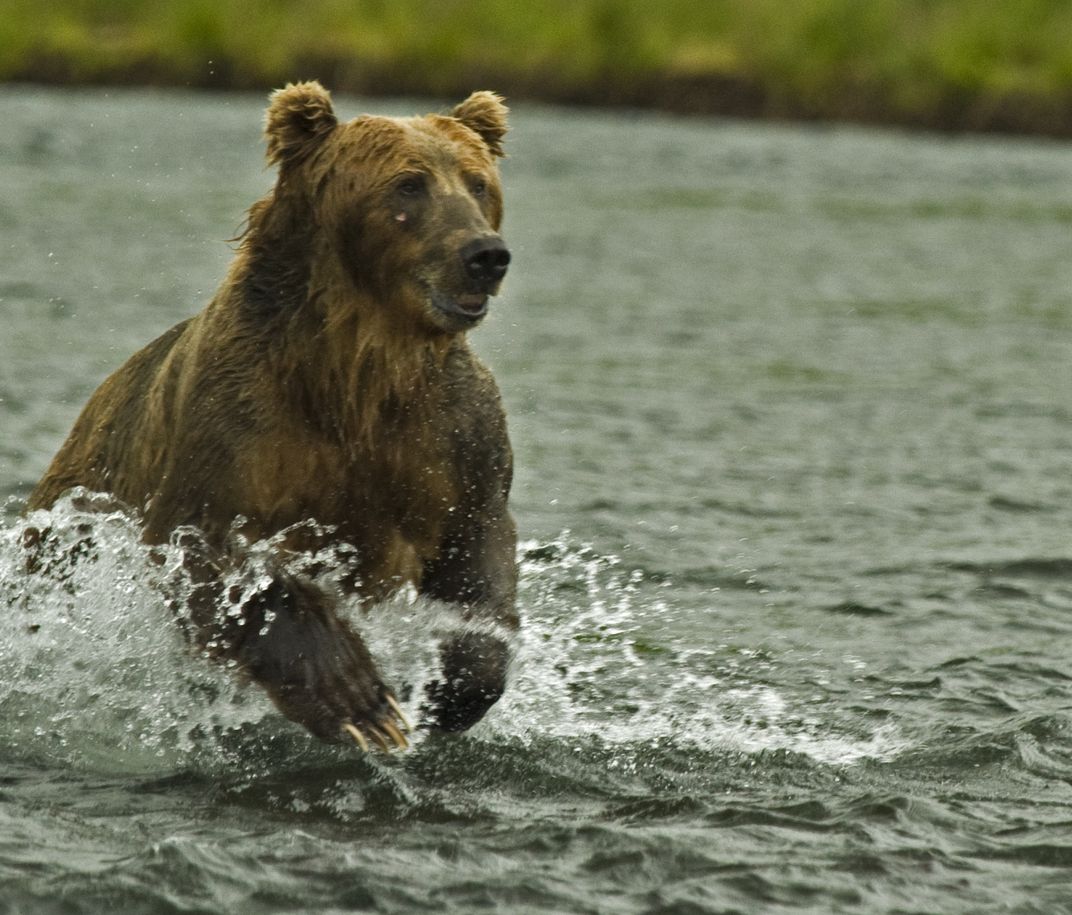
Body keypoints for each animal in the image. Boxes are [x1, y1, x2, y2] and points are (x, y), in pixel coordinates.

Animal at [27, 80, 520, 754]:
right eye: (409, 185)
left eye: (477, 182)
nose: (484, 254)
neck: (359, 367)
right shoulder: (240, 423)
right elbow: (209, 555)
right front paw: (361, 700)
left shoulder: (451, 436)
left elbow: (478, 555)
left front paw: (446, 693)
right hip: (69, 526)